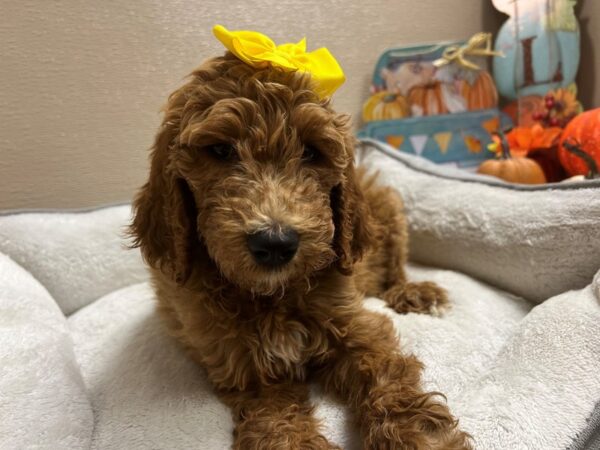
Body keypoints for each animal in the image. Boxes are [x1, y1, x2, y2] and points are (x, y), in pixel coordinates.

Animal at [131, 51, 474, 448]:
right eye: (220, 150)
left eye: (311, 152)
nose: (275, 243)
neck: (272, 296)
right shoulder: (249, 371)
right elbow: (278, 424)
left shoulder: (356, 325)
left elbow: (386, 373)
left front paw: (421, 436)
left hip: (389, 212)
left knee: (396, 269)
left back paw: (415, 292)